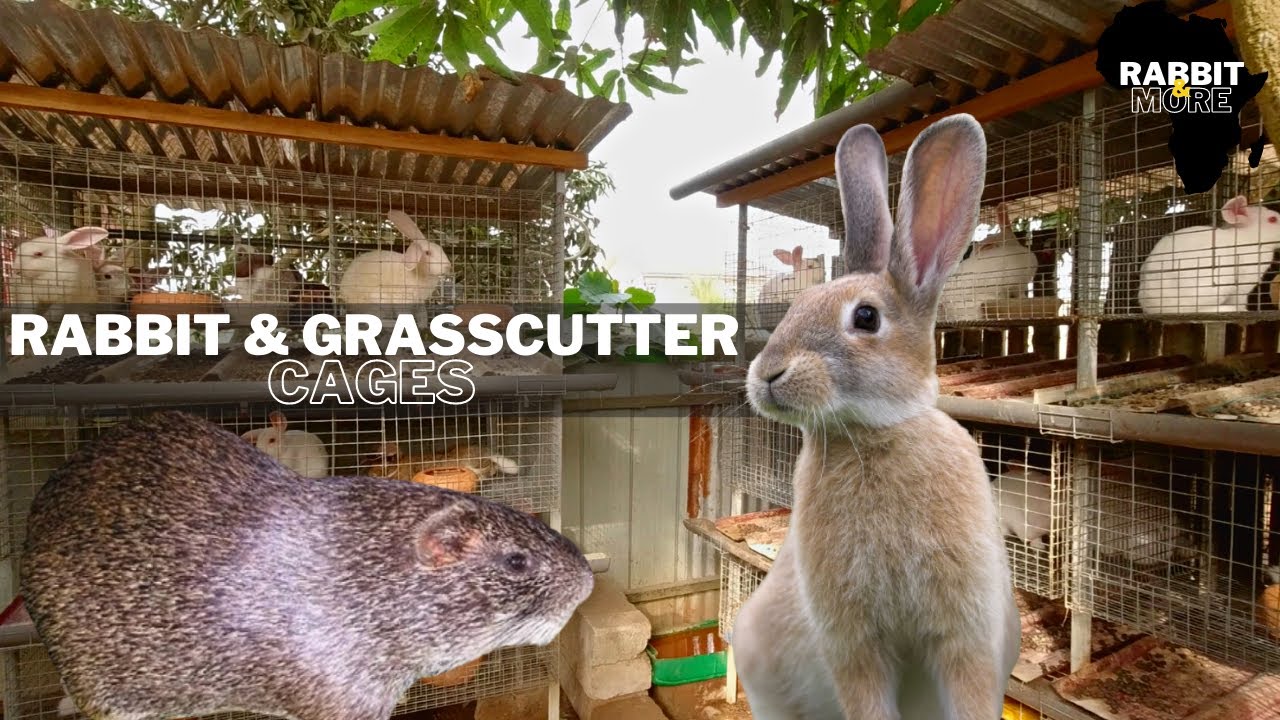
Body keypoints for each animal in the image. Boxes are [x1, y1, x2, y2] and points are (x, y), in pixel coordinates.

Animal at [731, 116, 1019, 720]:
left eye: (866, 317)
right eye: (796, 306)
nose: (766, 374)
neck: (874, 434)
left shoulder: (966, 638)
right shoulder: (853, 645)